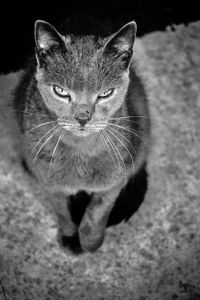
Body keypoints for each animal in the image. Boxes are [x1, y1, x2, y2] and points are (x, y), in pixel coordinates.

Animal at [13, 16, 150, 253]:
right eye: (61, 91)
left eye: (105, 94)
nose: (83, 118)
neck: (80, 151)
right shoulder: (48, 180)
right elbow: (62, 210)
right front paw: (69, 238)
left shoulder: (114, 181)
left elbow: (97, 212)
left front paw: (90, 243)